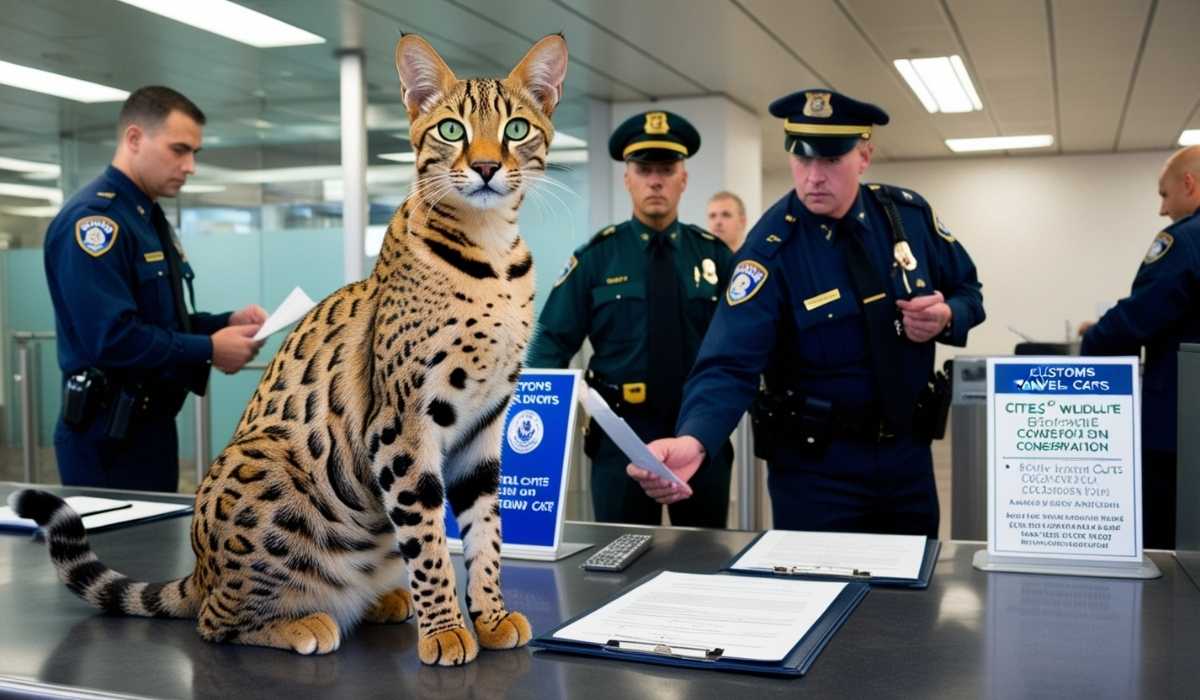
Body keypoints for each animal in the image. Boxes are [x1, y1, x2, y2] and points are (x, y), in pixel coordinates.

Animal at [9, 32, 571, 667]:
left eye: (516, 129)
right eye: (451, 129)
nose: (485, 166)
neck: (492, 252)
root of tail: (198, 572)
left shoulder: (485, 423)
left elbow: (485, 532)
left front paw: (491, 616)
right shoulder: (402, 424)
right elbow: (429, 542)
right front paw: (448, 629)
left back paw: (381, 600)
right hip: (265, 470)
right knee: (215, 620)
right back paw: (302, 622)